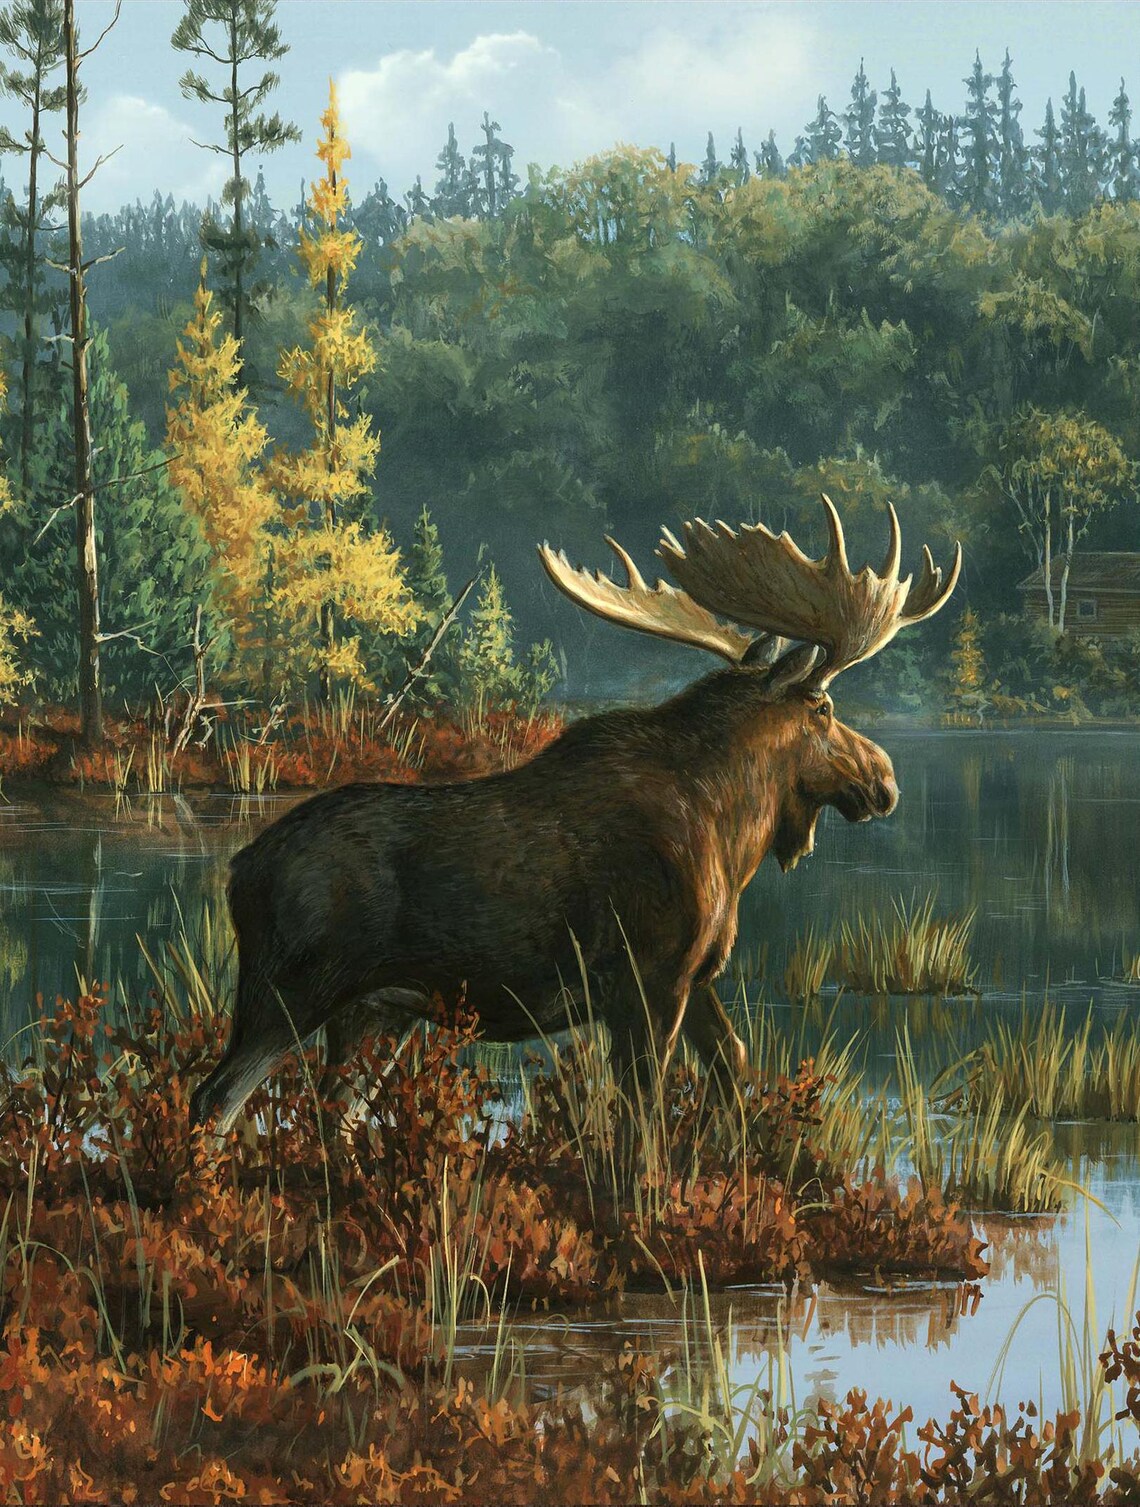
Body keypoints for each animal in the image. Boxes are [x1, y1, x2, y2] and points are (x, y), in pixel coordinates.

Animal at [189, 497, 960, 1132]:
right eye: (824, 708)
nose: (885, 780)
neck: (731, 826)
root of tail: (238, 869)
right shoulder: (649, 979)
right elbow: (642, 1115)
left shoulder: (696, 976)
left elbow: (732, 1070)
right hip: (289, 991)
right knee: (215, 1099)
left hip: (373, 1012)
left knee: (333, 1114)